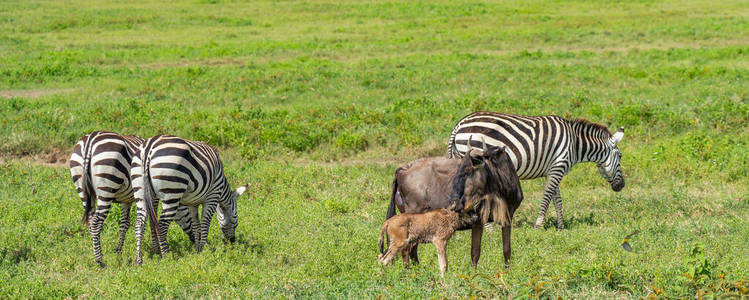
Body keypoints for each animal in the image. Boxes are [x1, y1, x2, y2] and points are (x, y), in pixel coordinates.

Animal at [68, 131, 194, 268]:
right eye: (189, 213)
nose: (194, 241)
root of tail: (90, 141)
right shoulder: (152, 197)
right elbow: (152, 221)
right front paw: (156, 250)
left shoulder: (126, 200)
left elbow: (124, 224)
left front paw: (118, 252)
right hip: (106, 187)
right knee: (96, 222)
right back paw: (100, 260)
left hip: (82, 189)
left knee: (91, 221)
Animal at [129, 135, 245, 264]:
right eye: (236, 217)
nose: (231, 242)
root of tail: (149, 147)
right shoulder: (212, 196)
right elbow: (205, 224)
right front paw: (203, 249)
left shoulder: (192, 203)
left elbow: (196, 225)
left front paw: (197, 249)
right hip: (172, 189)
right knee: (162, 224)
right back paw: (167, 256)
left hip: (140, 189)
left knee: (139, 223)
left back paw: (138, 260)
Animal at [444, 111, 624, 229]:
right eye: (621, 156)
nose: (621, 186)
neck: (575, 144)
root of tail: (459, 124)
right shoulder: (558, 166)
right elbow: (547, 197)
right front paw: (538, 225)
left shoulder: (553, 169)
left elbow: (557, 199)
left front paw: (561, 226)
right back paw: (489, 229)